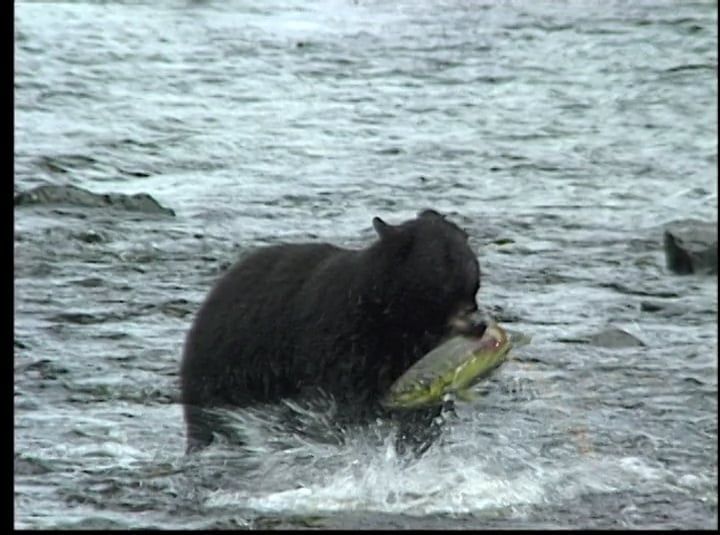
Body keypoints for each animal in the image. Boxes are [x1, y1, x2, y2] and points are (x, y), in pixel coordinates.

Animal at [180, 209, 484, 452]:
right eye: (444, 284)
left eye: (474, 281)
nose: (479, 325)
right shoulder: (340, 343)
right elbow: (347, 403)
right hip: (224, 373)